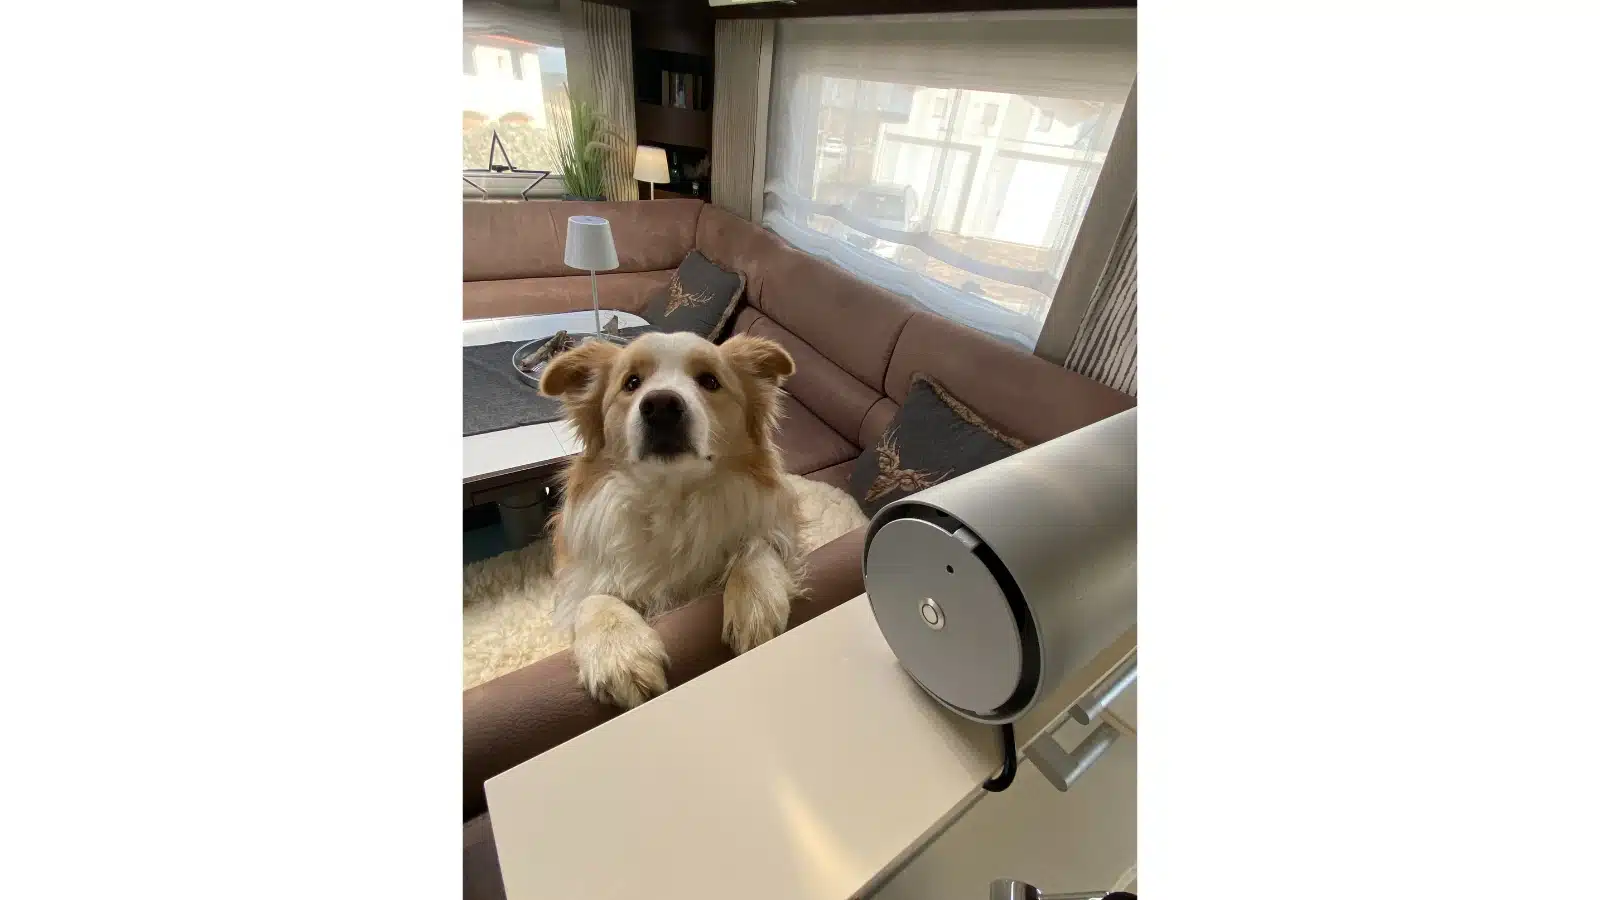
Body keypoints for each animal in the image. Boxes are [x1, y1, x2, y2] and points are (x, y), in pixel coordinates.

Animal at [538, 331, 803, 708]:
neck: (672, 501)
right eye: (631, 383)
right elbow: (592, 598)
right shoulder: (579, 577)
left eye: (710, 381)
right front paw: (619, 653)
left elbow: (756, 546)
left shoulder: (773, 525)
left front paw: (755, 602)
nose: (661, 406)